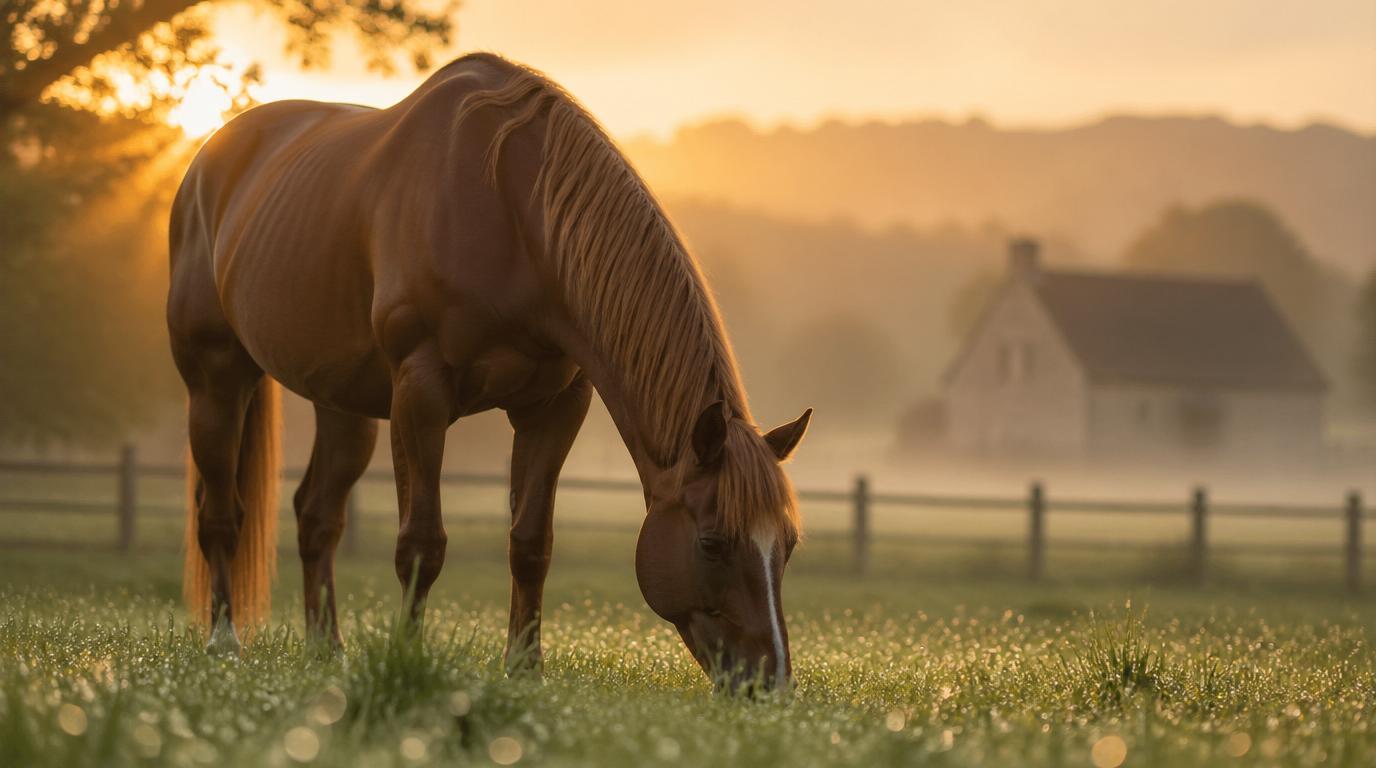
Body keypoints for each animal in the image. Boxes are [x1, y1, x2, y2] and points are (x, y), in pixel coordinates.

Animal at [167, 52, 812, 691]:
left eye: (786, 544)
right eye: (712, 542)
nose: (771, 682)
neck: (511, 216)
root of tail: (206, 160)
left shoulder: (554, 407)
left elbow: (530, 543)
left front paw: (524, 666)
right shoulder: (421, 395)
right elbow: (421, 542)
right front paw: (407, 655)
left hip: (343, 407)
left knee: (316, 516)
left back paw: (328, 649)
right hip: (216, 382)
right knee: (220, 516)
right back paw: (223, 642)